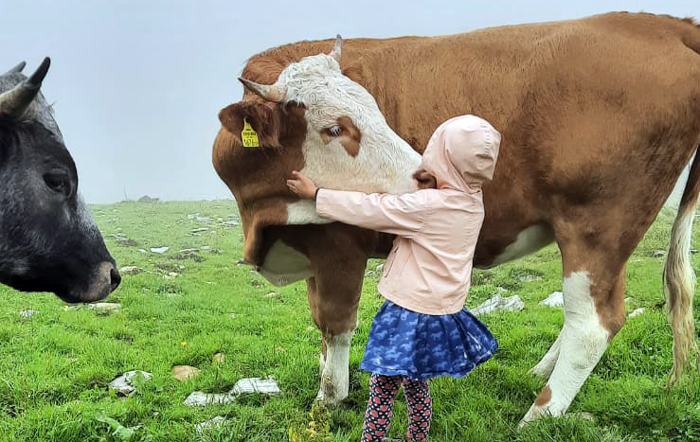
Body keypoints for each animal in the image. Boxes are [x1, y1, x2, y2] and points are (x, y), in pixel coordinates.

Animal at [213, 12, 700, 424]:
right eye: (334, 128)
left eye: (375, 111)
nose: (424, 174)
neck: (262, 215)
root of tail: (659, 22)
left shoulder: (340, 246)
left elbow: (334, 324)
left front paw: (328, 401)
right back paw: (538, 373)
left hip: (599, 223)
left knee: (595, 322)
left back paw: (538, 416)